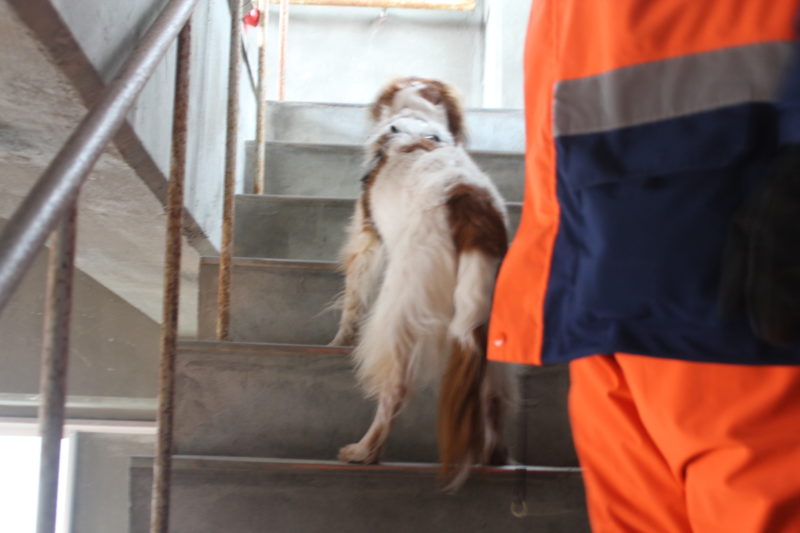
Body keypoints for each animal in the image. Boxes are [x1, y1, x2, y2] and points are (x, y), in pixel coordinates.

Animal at [330, 77, 512, 489]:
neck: (415, 122)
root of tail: (471, 207)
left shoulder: (366, 238)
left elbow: (351, 301)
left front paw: (338, 341)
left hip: (405, 304)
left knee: (395, 389)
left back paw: (364, 450)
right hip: (486, 317)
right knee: (493, 396)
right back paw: (495, 456)